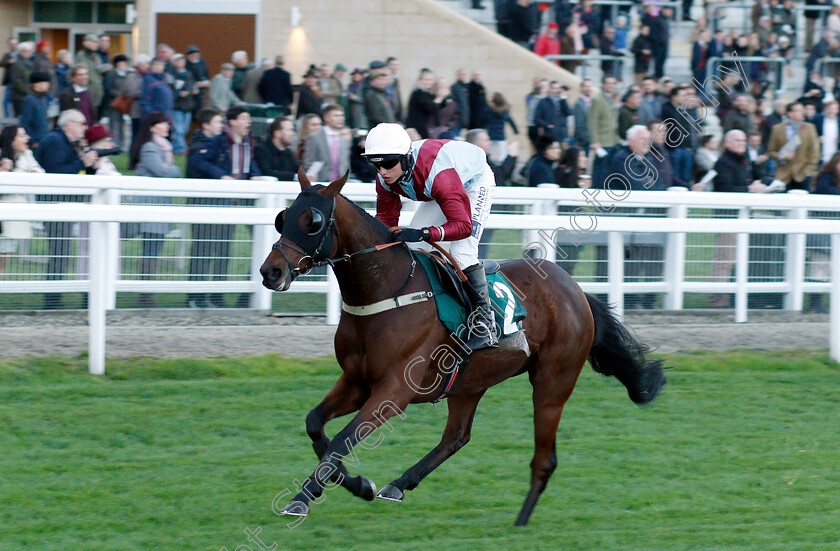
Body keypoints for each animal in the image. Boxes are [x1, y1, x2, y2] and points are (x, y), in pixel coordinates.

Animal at [260, 172, 668, 528]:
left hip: (553, 383)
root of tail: (576, 290)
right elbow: (317, 427)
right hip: (469, 382)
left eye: (312, 221)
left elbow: (343, 439)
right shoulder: (357, 381)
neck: (386, 290)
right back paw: (398, 484)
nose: (271, 272)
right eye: (283, 218)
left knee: (544, 458)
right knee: (456, 436)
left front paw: (317, 495)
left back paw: (520, 523)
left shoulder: (393, 390)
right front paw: (346, 487)